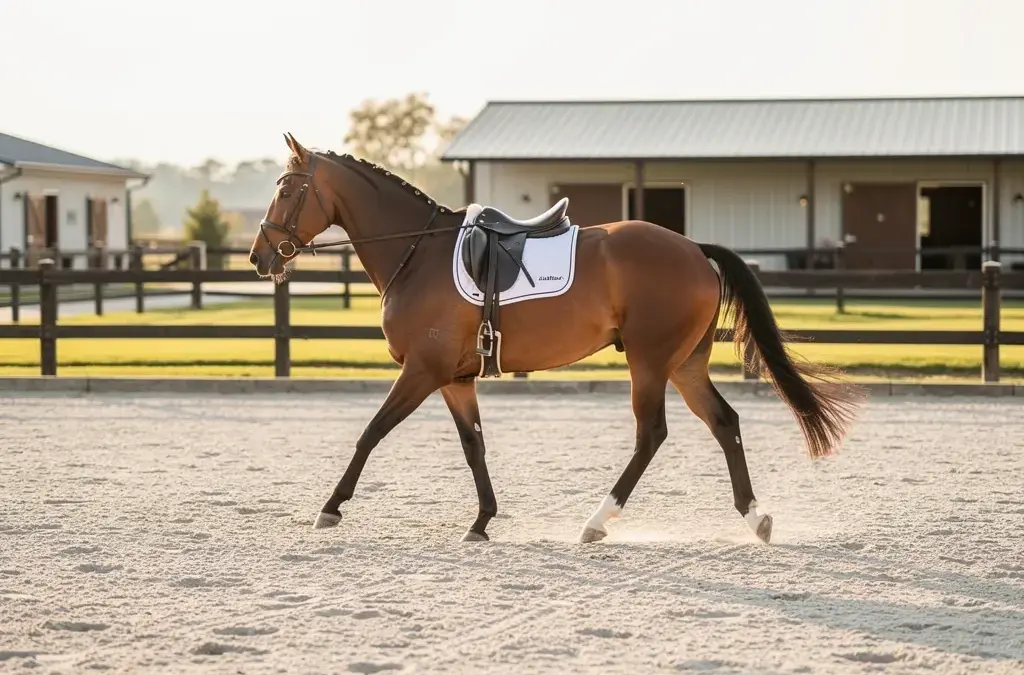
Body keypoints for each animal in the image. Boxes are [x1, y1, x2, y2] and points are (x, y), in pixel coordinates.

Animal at [248, 133, 863, 544]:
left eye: (288, 190)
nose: (258, 257)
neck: (417, 251)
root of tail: (693, 249)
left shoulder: (421, 370)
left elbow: (371, 433)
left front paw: (331, 507)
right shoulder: (454, 378)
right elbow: (473, 445)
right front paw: (481, 521)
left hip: (650, 362)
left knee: (651, 434)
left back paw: (597, 522)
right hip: (686, 364)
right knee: (723, 422)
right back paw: (755, 517)